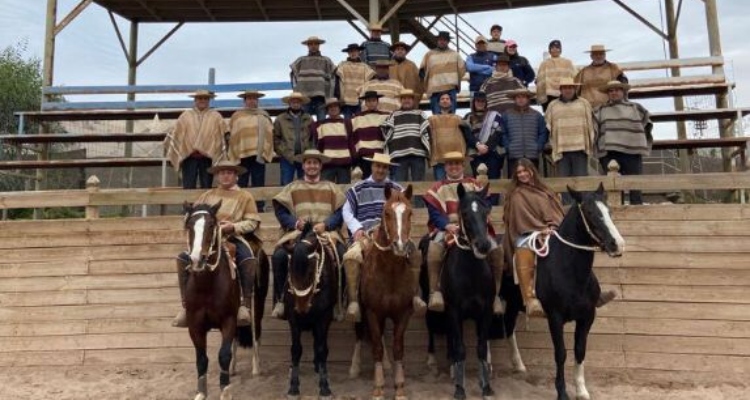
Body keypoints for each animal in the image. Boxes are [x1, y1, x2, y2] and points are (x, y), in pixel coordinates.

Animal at [183, 203, 254, 400]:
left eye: (211, 225)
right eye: (189, 225)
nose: (197, 259)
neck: (207, 284)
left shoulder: (228, 320)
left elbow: (223, 355)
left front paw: (225, 390)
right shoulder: (195, 325)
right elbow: (201, 358)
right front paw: (201, 392)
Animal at [286, 222, 340, 400]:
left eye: (311, 272)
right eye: (290, 271)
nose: (302, 309)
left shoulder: (323, 317)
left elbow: (322, 348)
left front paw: (324, 387)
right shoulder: (293, 318)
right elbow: (296, 350)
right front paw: (293, 386)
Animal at [352, 184, 420, 400]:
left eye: (409, 212)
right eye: (387, 213)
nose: (400, 245)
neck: (389, 273)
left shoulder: (403, 313)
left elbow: (397, 347)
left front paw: (399, 387)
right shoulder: (373, 313)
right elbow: (377, 348)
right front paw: (378, 388)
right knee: (360, 334)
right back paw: (354, 367)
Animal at [536, 185, 624, 400]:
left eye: (609, 211)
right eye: (590, 212)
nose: (617, 244)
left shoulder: (587, 317)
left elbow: (579, 351)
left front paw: (581, 390)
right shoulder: (555, 318)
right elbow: (561, 353)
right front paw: (562, 392)